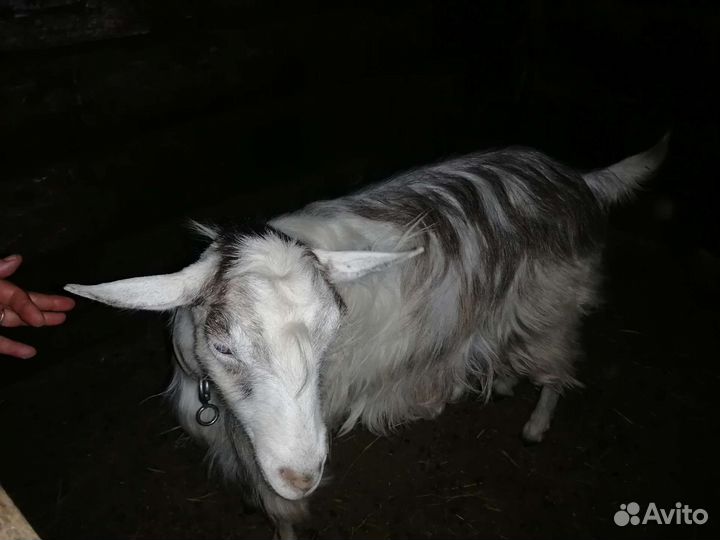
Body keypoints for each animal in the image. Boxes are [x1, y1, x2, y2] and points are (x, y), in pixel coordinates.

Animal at [65, 135, 667, 539]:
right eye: (223, 346)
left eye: (331, 336)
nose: (301, 475)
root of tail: (577, 180)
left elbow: (282, 514)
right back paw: (503, 385)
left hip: (552, 306)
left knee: (559, 366)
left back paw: (536, 425)